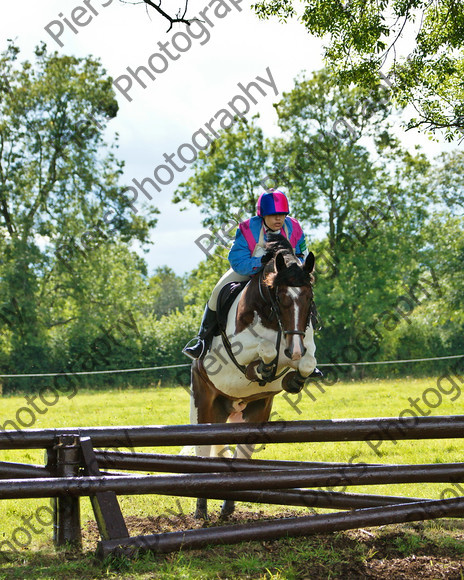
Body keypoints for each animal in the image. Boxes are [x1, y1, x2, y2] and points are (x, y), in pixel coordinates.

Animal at [190, 233, 318, 520]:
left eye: (309, 298)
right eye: (280, 297)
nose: (294, 350)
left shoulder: (305, 344)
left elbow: (308, 362)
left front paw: (292, 379)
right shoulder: (237, 350)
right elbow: (266, 348)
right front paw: (262, 368)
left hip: (253, 412)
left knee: (240, 456)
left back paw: (227, 507)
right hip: (204, 403)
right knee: (203, 453)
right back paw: (201, 510)